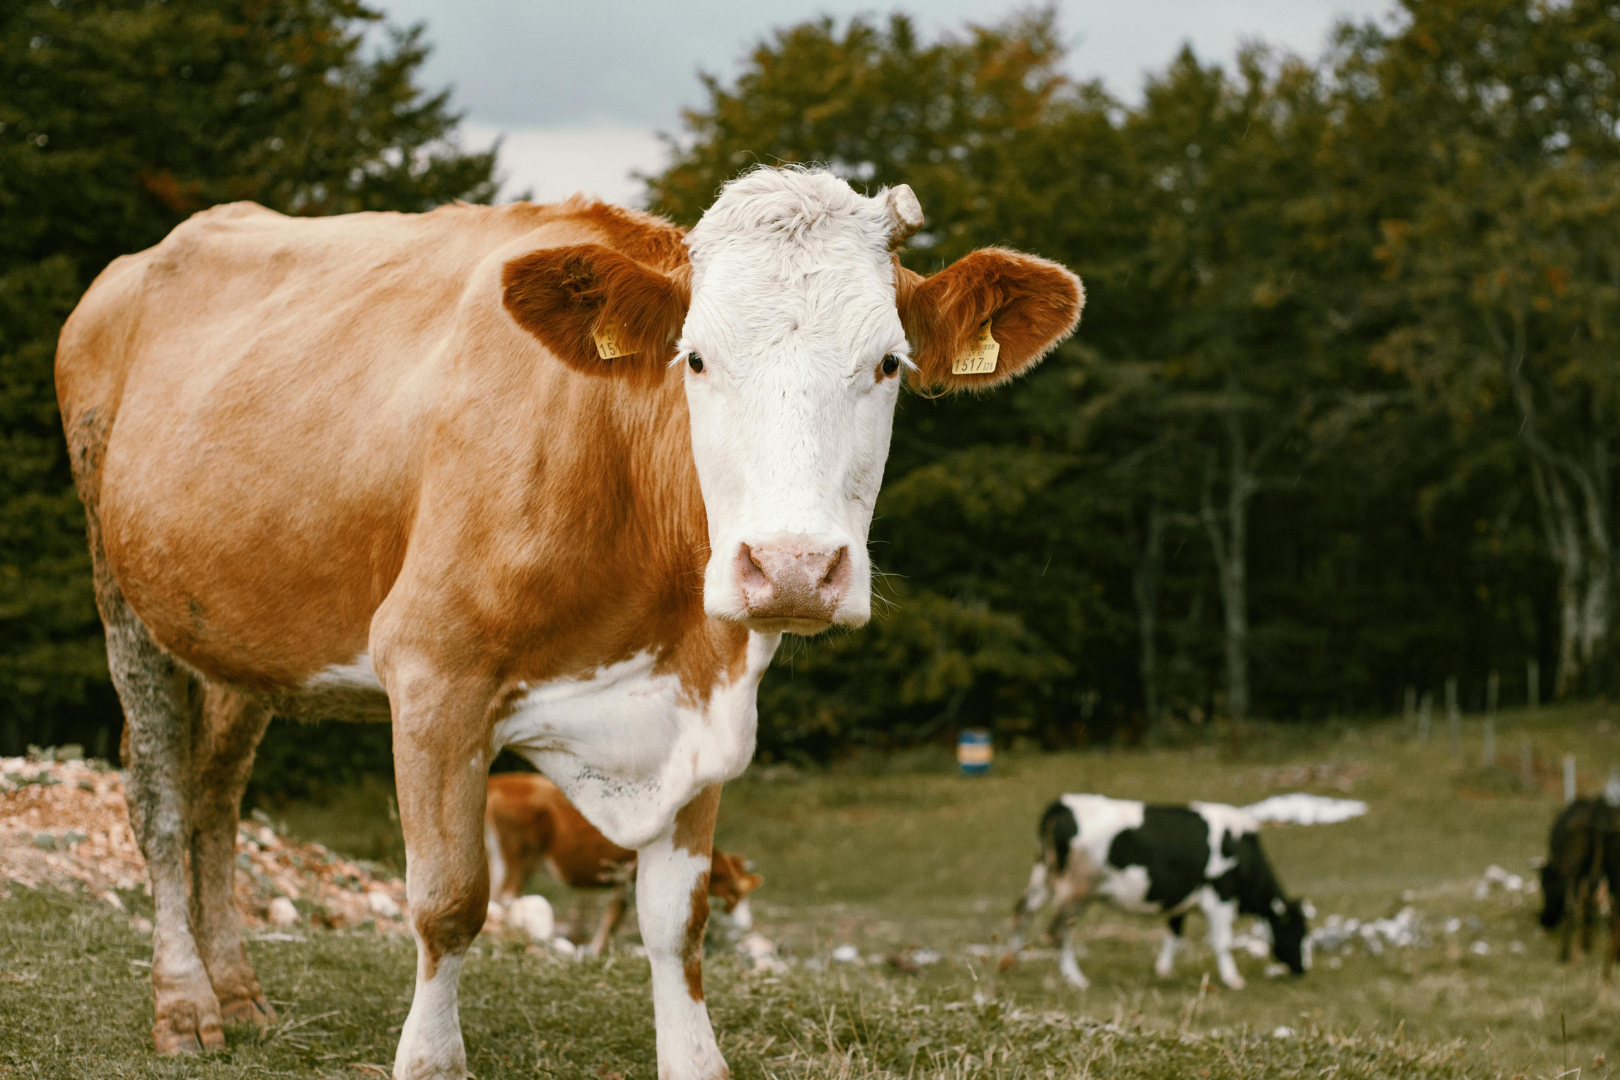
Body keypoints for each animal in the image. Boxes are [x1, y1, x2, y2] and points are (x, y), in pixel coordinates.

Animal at [486, 771, 762, 954]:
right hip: (518, 858)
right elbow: (614, 918)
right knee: (507, 897)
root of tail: (497, 782)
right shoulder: (629, 876)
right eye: (735, 891)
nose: (747, 923)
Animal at [1010, 795, 1309, 990]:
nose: (1303, 969)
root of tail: (1062, 804)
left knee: (1022, 911)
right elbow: (1222, 941)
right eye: (1297, 932)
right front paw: (1233, 979)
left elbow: (1175, 937)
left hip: (1043, 876)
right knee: (1058, 929)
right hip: (1077, 890)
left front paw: (1163, 971)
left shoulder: (1180, 900)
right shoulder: (1220, 896)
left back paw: (1011, 961)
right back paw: (1076, 979)